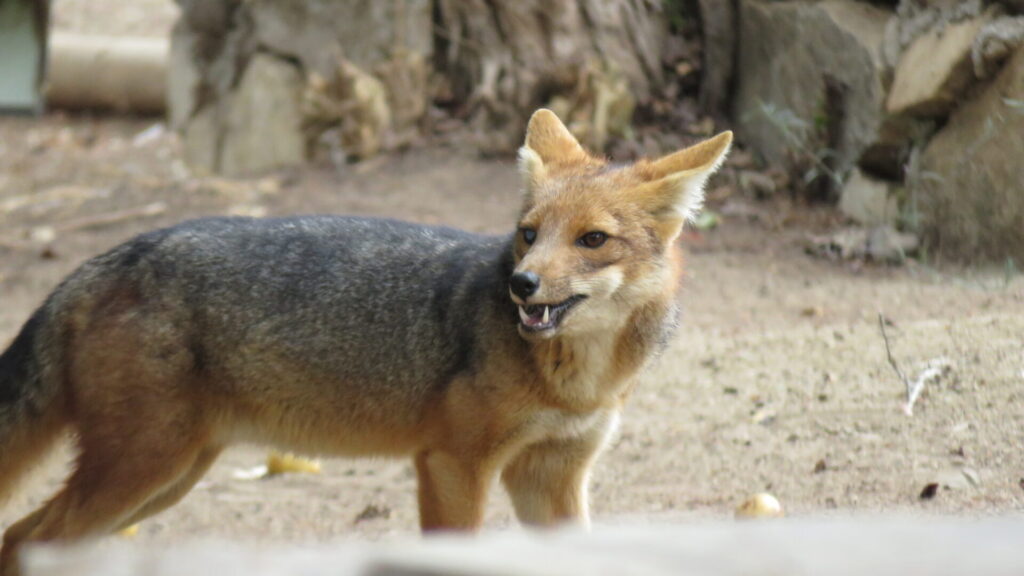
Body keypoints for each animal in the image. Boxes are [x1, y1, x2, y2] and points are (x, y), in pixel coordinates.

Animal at [0, 108, 729, 573]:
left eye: (592, 240)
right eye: (529, 233)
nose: (521, 284)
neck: (574, 381)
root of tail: (107, 258)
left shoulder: (551, 475)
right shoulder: (452, 463)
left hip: (169, 476)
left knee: (21, 536)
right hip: (141, 469)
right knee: (26, 538)